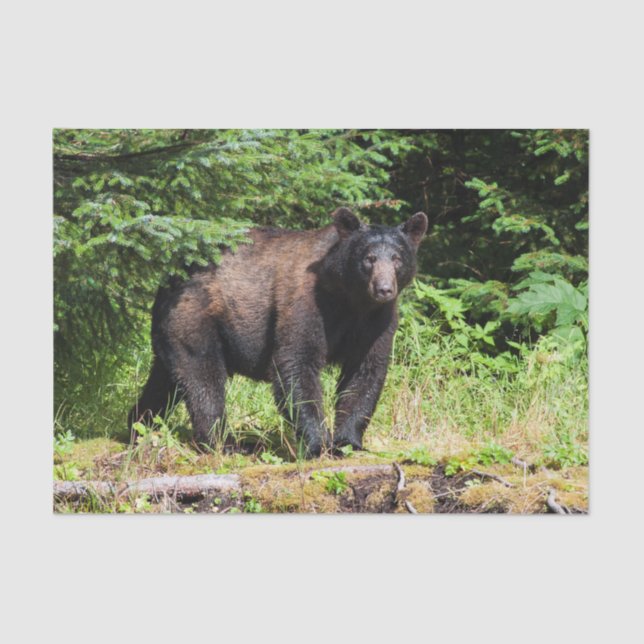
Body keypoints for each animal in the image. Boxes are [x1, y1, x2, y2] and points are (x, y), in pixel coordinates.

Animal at [128, 208, 428, 458]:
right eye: (369, 258)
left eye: (397, 258)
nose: (384, 289)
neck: (351, 300)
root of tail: (168, 279)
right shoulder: (307, 303)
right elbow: (296, 363)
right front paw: (317, 444)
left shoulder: (376, 322)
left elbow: (365, 372)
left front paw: (347, 442)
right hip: (196, 317)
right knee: (203, 378)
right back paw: (225, 443)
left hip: (173, 332)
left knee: (165, 380)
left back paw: (138, 424)